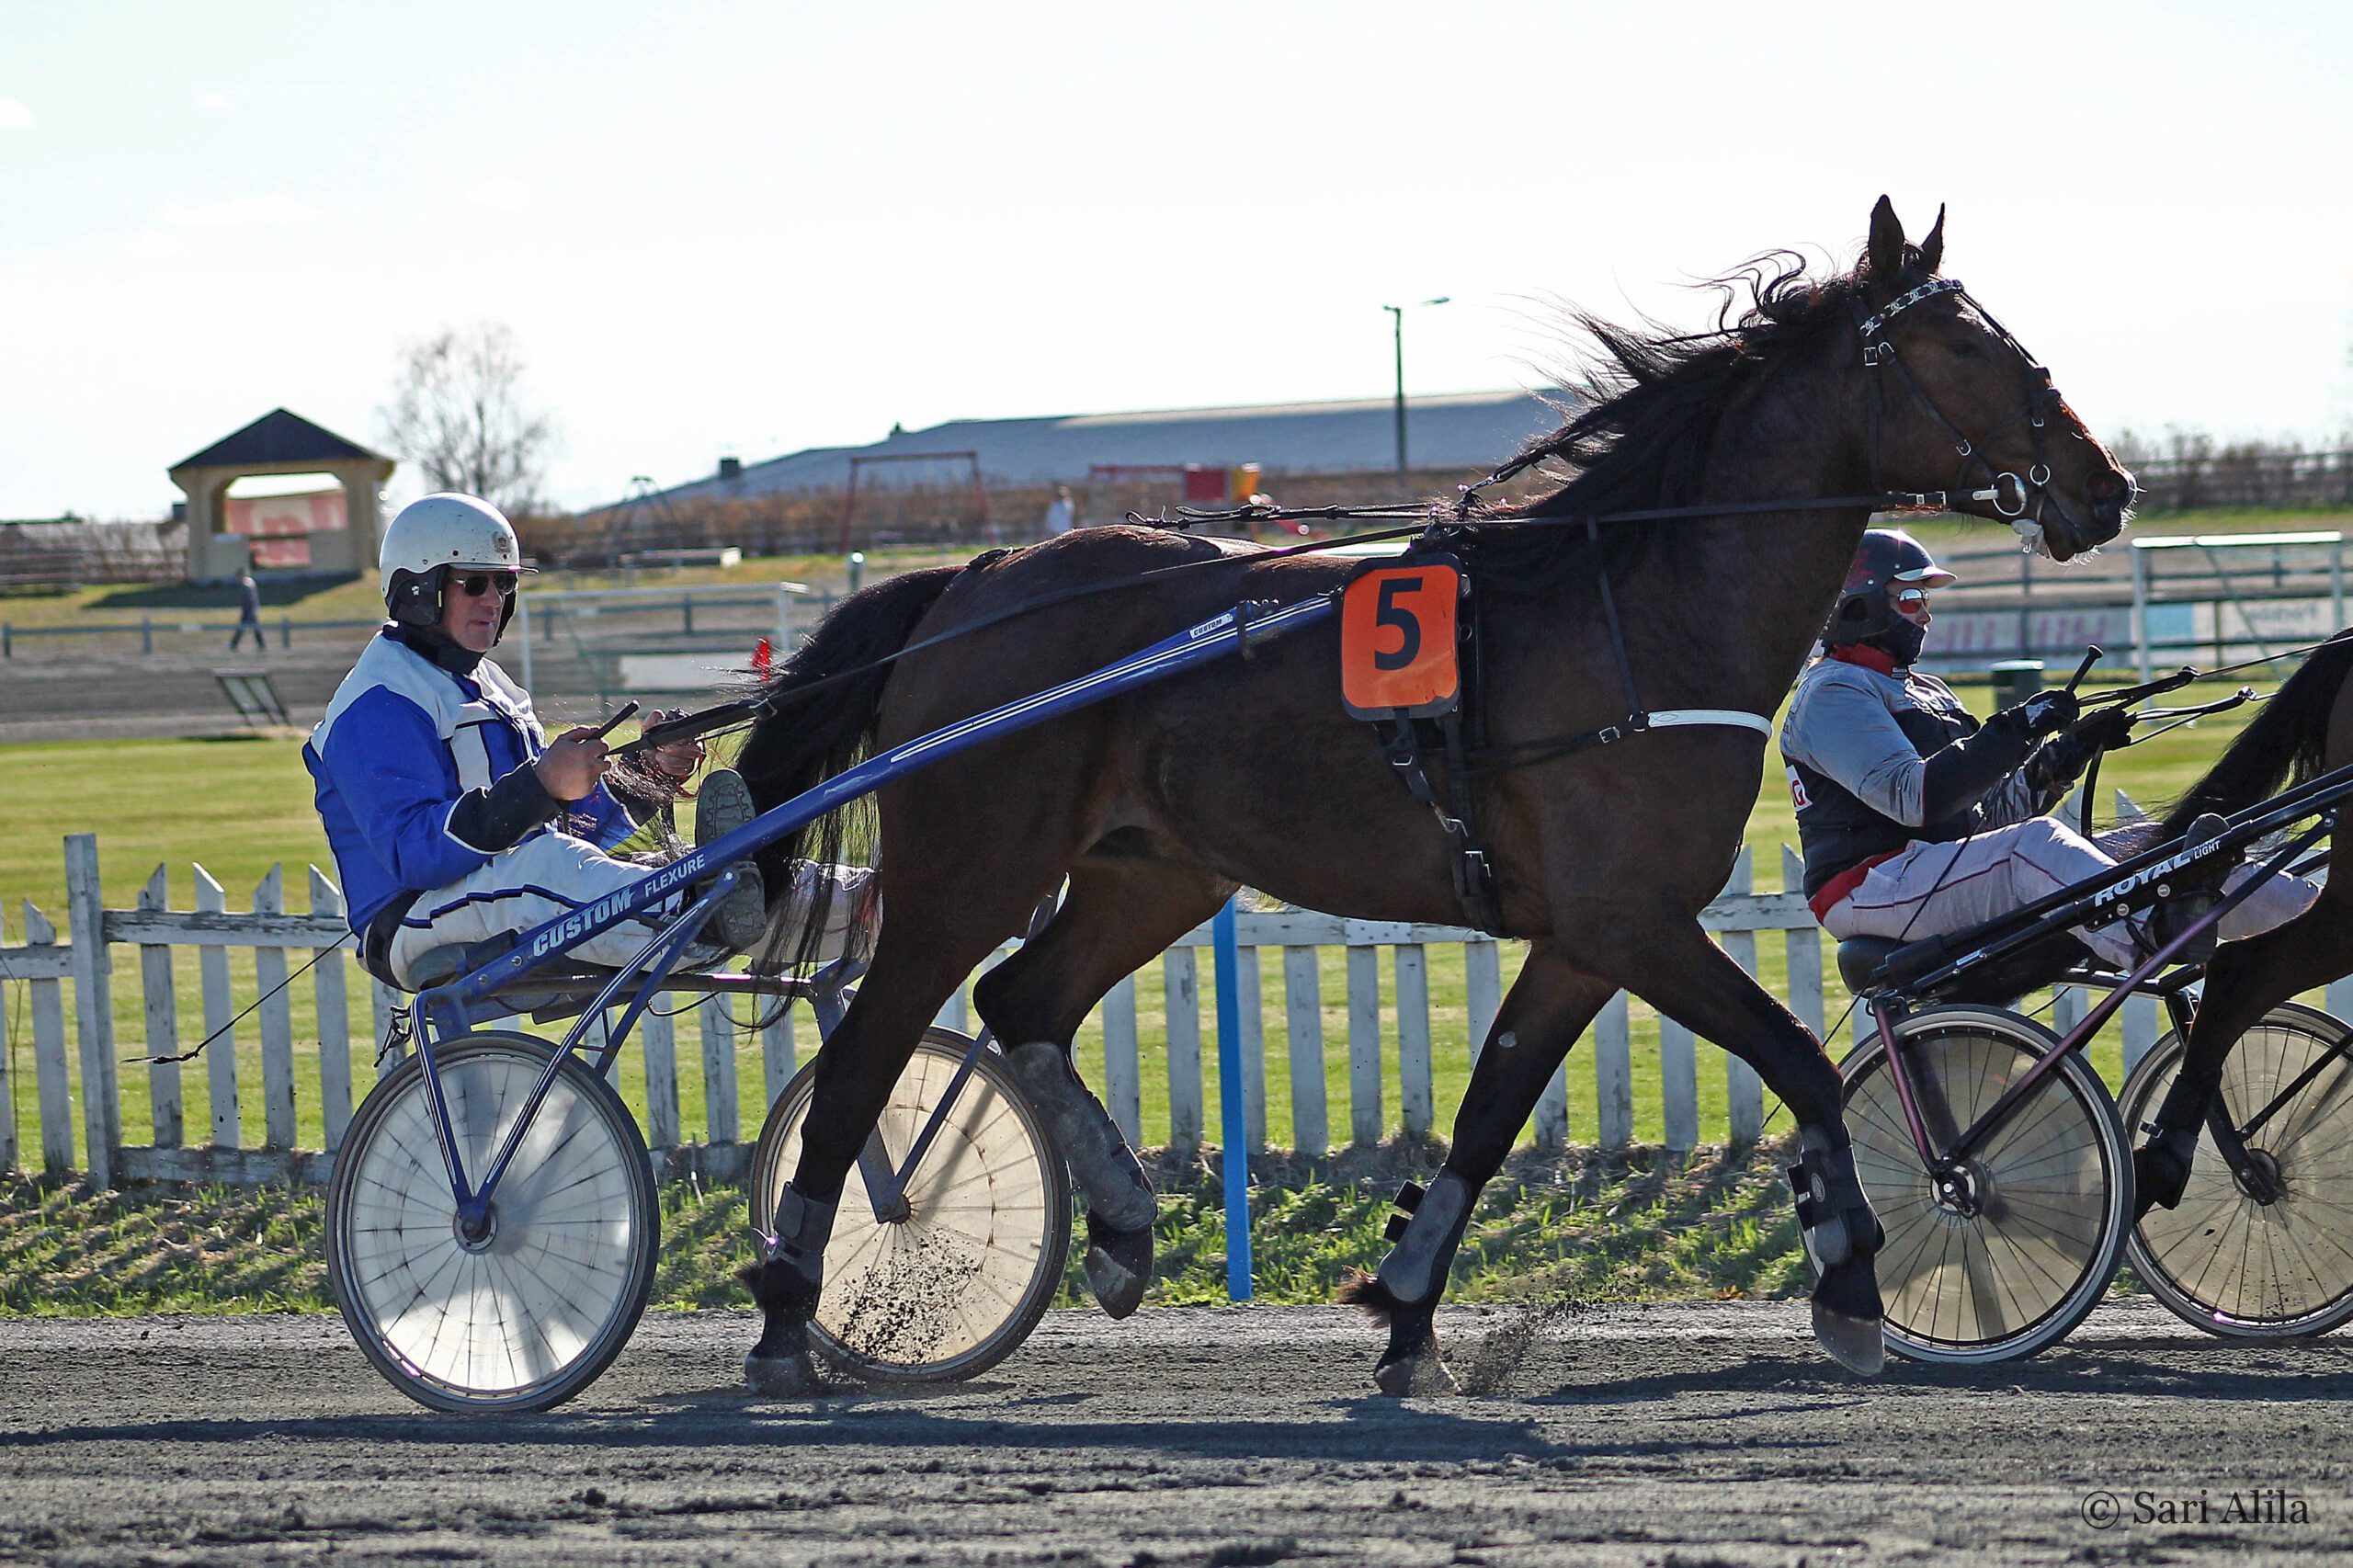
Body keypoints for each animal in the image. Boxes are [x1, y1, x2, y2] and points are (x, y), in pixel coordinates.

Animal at [729, 197, 2134, 1395]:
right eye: (1969, 344)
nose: (2106, 484)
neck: (1640, 610)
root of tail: (970, 582)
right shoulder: (1634, 920)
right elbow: (1795, 1055)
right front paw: (1847, 1277)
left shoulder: (1582, 937)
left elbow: (1488, 1113)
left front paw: (1407, 1311)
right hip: (967, 872)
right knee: (864, 1057)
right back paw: (790, 1306)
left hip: (1157, 868)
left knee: (1023, 999)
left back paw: (1121, 1227)